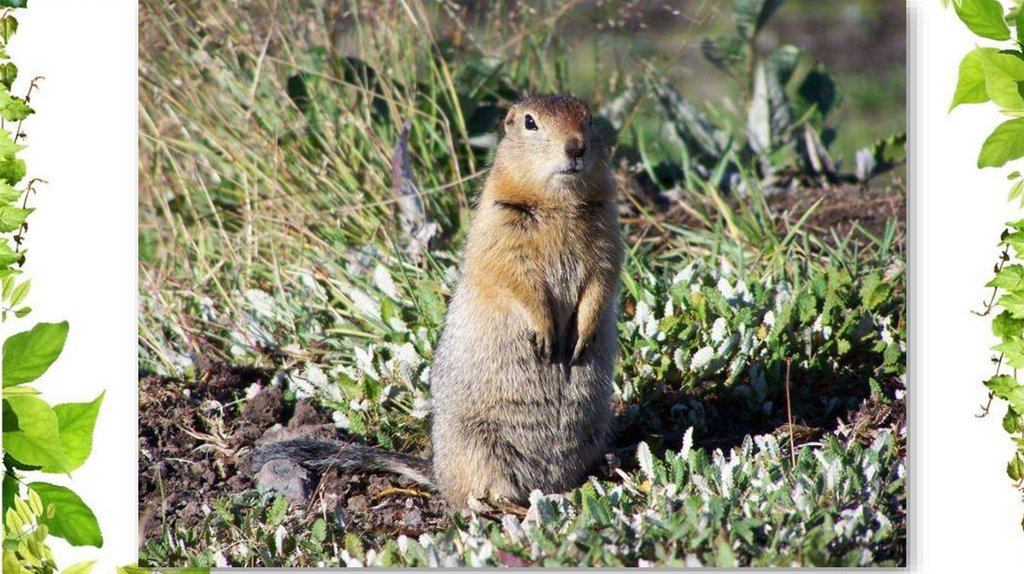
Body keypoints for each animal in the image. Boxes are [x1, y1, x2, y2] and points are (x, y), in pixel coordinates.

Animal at [256, 95, 622, 509]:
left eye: (590, 119)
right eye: (531, 123)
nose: (575, 147)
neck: (558, 203)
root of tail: (438, 471)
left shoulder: (608, 231)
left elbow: (602, 280)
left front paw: (582, 335)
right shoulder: (498, 230)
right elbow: (515, 280)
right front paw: (545, 334)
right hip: (478, 445)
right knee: (476, 495)